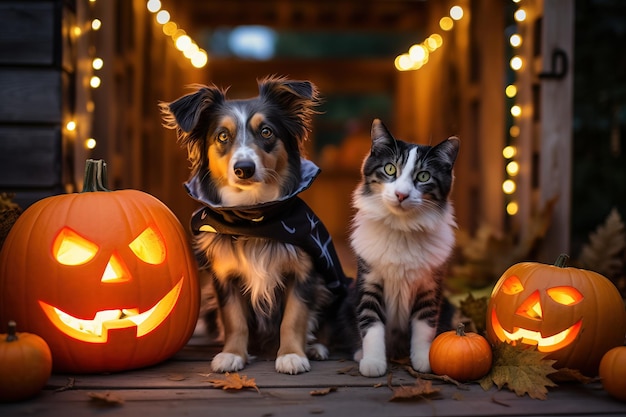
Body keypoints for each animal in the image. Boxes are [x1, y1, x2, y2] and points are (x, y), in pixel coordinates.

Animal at [158, 75, 354, 374]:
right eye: (222, 136)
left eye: (266, 132)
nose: (244, 168)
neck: (252, 216)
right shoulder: (225, 278)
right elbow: (234, 320)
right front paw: (232, 354)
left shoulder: (303, 274)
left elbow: (294, 318)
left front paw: (291, 355)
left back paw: (316, 347)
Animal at [346, 118, 458, 376]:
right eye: (390, 169)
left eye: (424, 176)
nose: (401, 194)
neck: (402, 228)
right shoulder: (369, 282)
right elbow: (371, 325)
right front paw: (373, 361)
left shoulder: (430, 288)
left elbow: (424, 327)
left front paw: (424, 359)